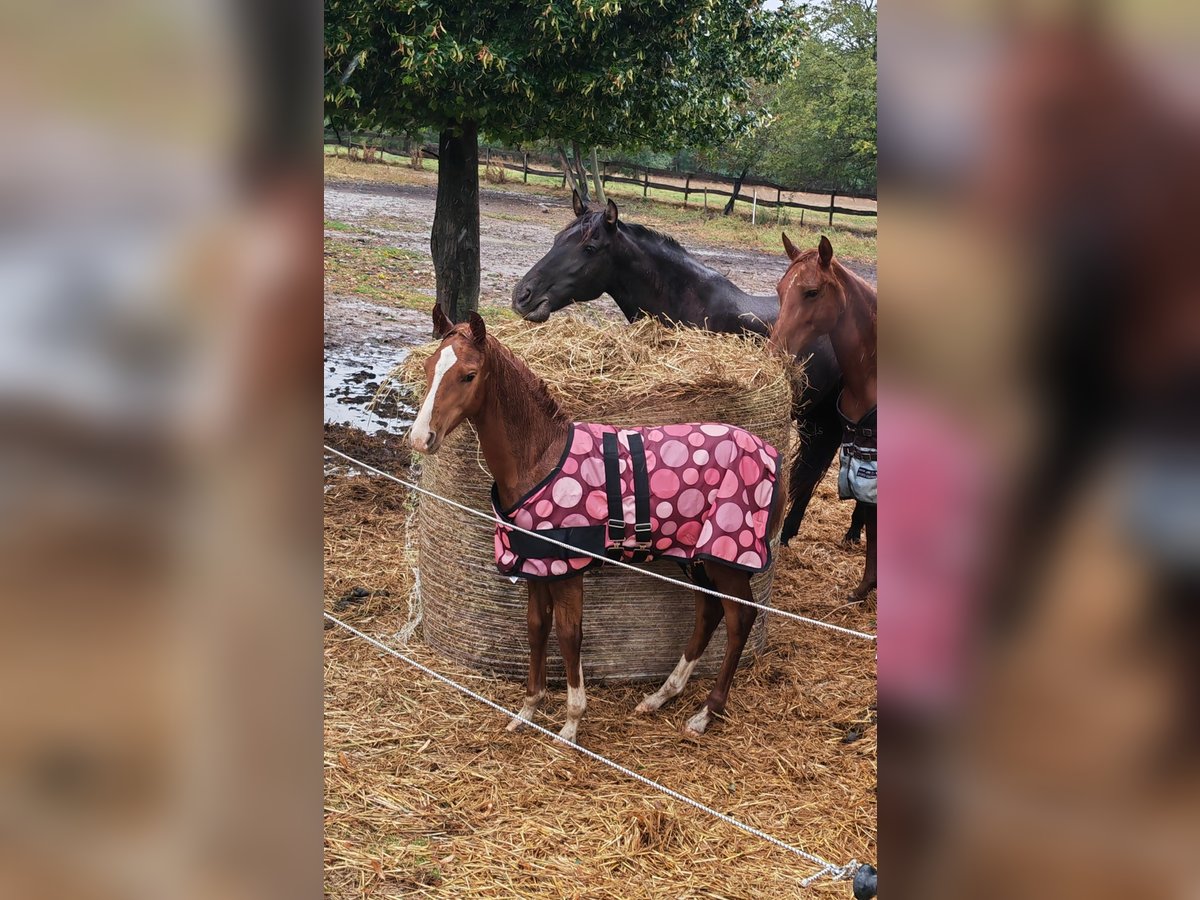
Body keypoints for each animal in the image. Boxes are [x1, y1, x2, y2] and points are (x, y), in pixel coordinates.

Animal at [410, 307, 787, 744]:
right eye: (428, 367)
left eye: (468, 374)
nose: (421, 438)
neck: (540, 457)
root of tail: (772, 457)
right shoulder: (538, 566)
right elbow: (536, 627)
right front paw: (527, 710)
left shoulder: (568, 570)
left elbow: (569, 635)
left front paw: (571, 724)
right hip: (694, 557)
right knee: (708, 612)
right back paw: (661, 696)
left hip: (725, 558)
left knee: (739, 619)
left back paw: (705, 713)